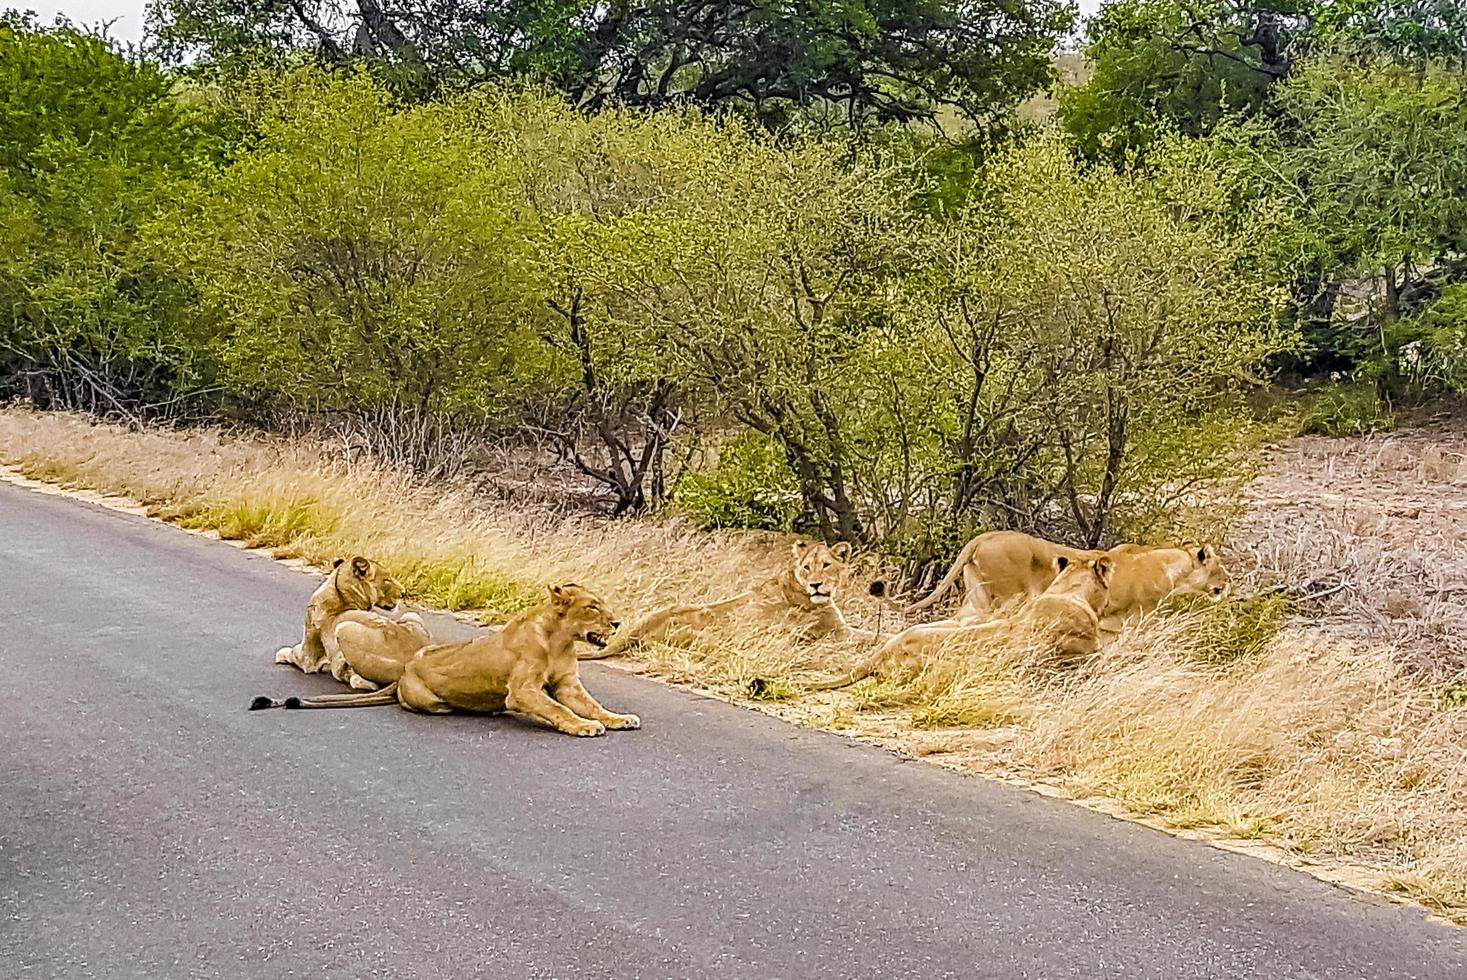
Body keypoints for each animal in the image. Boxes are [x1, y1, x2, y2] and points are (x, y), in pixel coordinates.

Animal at [250, 580, 636, 733]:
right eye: (592, 607)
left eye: (601, 605)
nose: (617, 622)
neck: (560, 641)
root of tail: (405, 671)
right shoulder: (523, 691)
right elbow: (558, 709)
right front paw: (583, 727)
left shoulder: (569, 684)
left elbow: (592, 705)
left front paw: (618, 718)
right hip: (431, 700)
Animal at [274, 554, 428, 692]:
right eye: (387, 579)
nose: (403, 592)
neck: (340, 593)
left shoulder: (308, 660)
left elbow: (293, 652)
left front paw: (281, 654)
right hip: (411, 615)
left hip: (343, 627)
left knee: (367, 682)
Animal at [577, 539, 862, 663]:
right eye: (806, 567)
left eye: (826, 565)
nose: (815, 584)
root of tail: (641, 627)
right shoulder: (837, 633)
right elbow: (869, 637)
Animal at [891, 528, 1226, 627]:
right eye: (1219, 566)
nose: (1227, 584)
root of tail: (985, 536)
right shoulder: (1135, 616)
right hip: (1008, 598)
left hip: (978, 597)